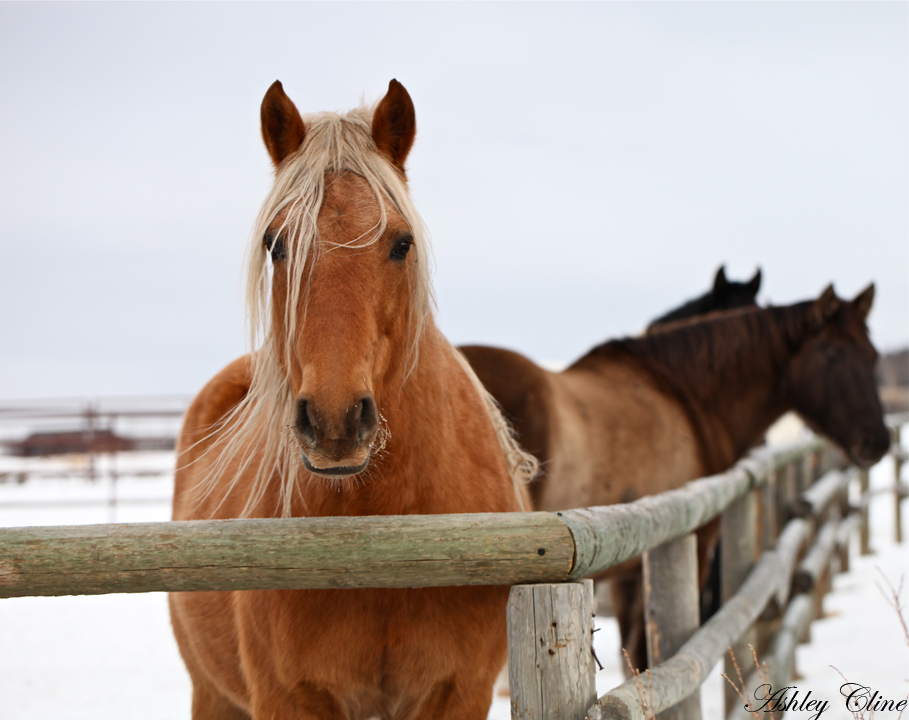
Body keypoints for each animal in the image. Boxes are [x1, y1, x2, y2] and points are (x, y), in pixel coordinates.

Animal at [168, 81, 532, 720]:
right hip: (212, 694)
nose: (334, 420)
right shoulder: (288, 698)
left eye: (402, 243)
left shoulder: (460, 690)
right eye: (276, 244)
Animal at [462, 284, 888, 672]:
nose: (877, 439)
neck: (684, 394)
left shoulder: (628, 567)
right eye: (831, 354)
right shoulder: (689, 545)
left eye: (873, 355)